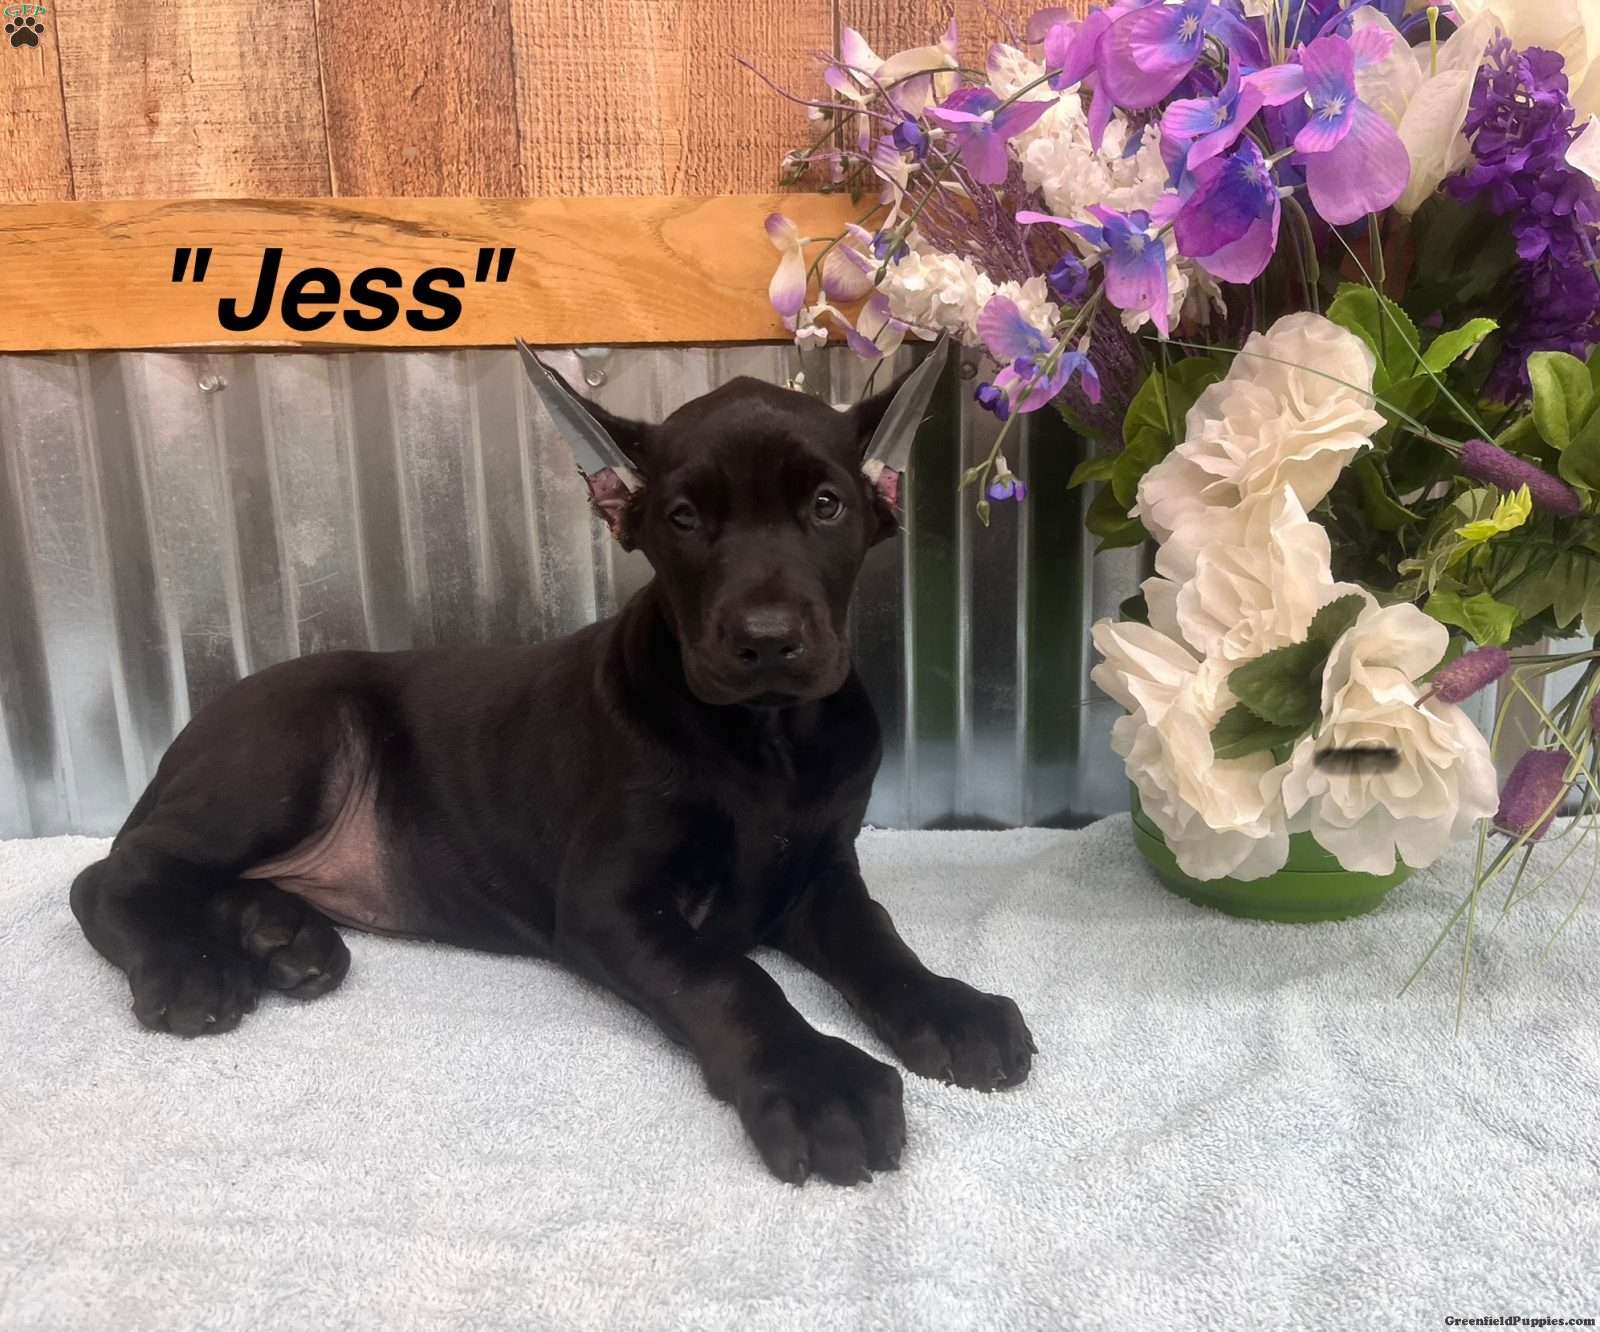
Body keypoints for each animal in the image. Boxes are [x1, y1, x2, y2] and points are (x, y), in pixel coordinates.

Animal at [69, 343, 1034, 1186]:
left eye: (827, 506)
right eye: (684, 519)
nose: (766, 640)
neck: (767, 738)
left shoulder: (821, 872)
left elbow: (878, 940)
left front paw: (951, 1008)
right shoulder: (610, 905)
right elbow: (732, 979)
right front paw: (816, 1082)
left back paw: (283, 937)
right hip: (292, 742)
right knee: (114, 872)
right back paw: (191, 967)